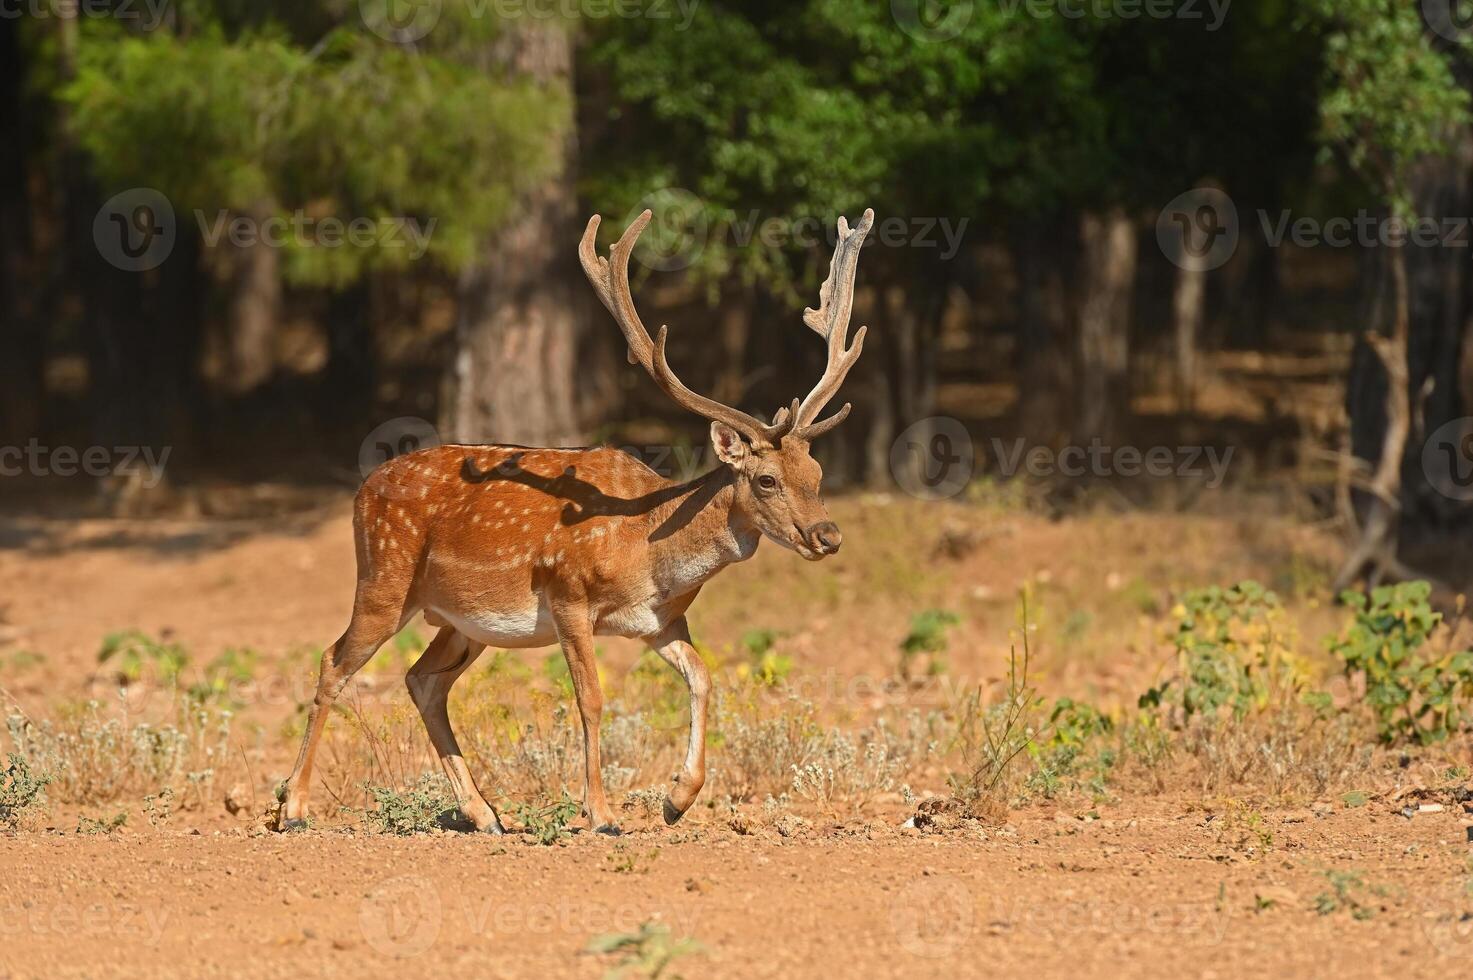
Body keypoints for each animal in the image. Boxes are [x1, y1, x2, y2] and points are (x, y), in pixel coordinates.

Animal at [276, 207, 872, 831]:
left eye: (817, 471)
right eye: (766, 479)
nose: (828, 535)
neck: (647, 550)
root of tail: (362, 488)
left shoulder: (660, 622)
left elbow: (704, 677)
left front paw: (677, 798)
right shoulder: (568, 595)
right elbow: (591, 698)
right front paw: (602, 813)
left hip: (463, 622)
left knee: (423, 681)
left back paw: (484, 813)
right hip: (384, 579)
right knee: (334, 662)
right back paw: (293, 806)